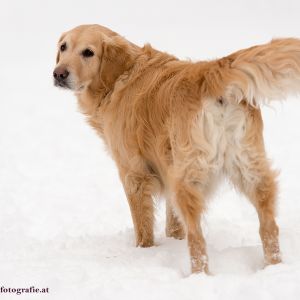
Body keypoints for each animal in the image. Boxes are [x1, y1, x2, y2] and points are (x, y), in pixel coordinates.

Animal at [53, 24, 300, 274]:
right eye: (63, 47)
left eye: (88, 52)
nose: (59, 74)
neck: (122, 75)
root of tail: (209, 72)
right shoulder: (167, 166)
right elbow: (173, 221)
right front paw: (173, 239)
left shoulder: (133, 173)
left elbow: (143, 224)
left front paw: (143, 251)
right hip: (249, 168)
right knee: (269, 226)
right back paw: (274, 267)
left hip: (189, 177)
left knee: (197, 238)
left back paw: (199, 275)